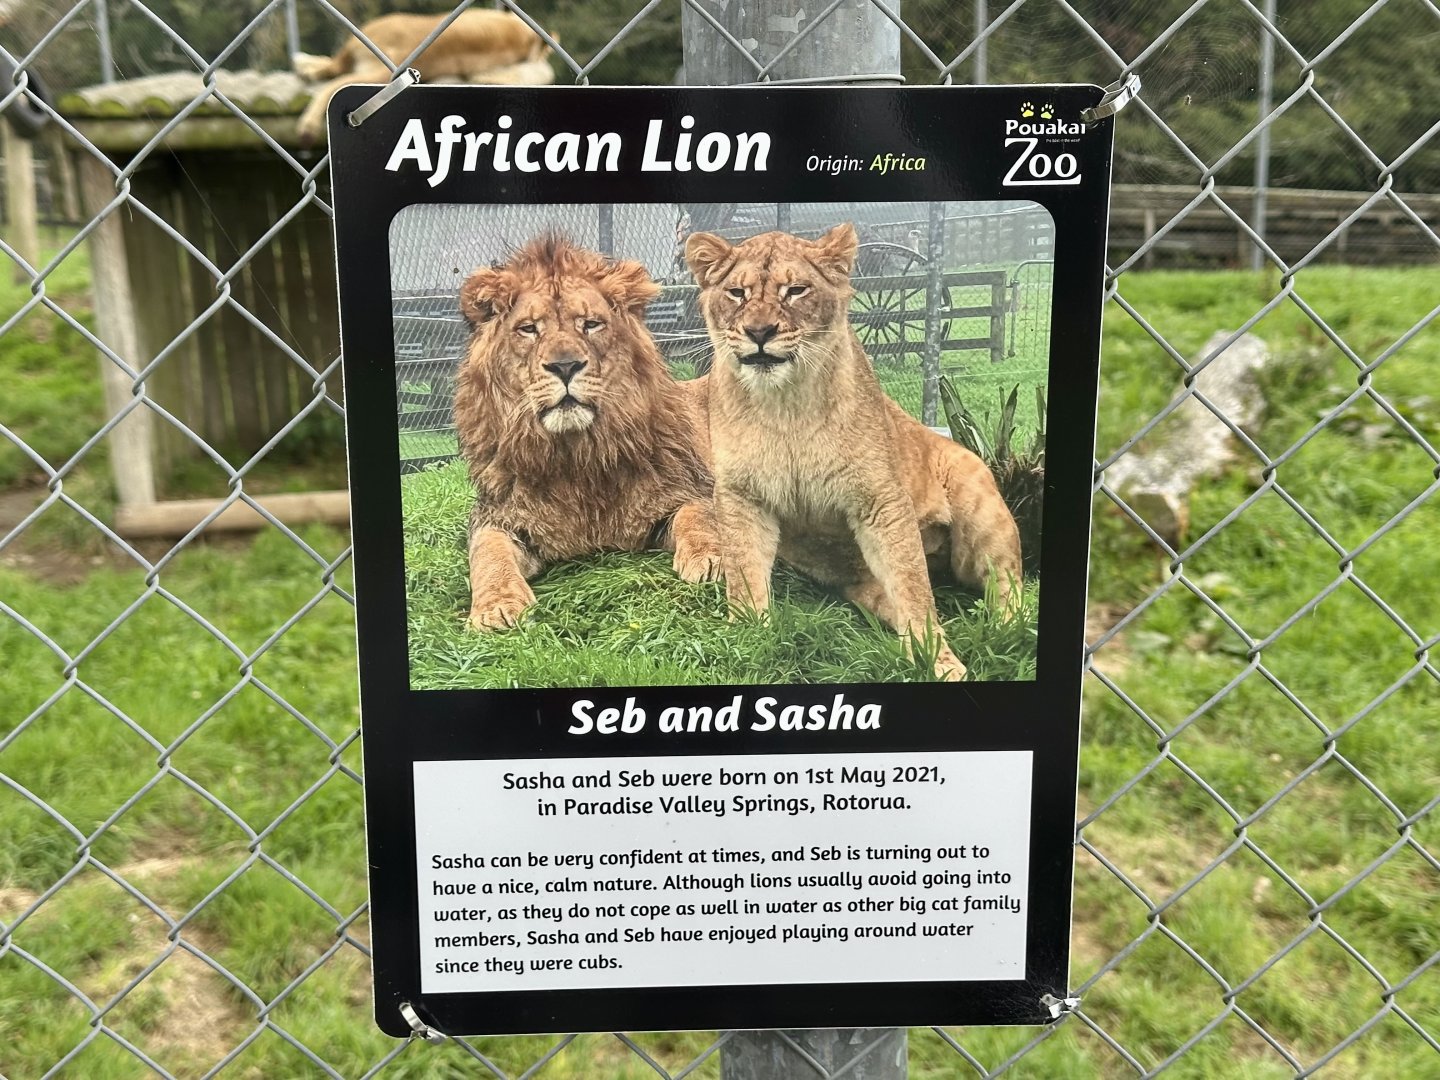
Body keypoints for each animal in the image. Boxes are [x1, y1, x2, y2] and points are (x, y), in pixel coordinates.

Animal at [453, 235, 720, 630]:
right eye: (528, 329)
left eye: (591, 324)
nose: (565, 366)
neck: (575, 457)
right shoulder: (496, 516)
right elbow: (488, 554)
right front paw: (496, 607)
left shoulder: (688, 489)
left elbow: (700, 518)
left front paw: (713, 559)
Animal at [685, 223, 1022, 681]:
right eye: (737, 293)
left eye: (796, 290)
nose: (759, 332)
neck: (784, 405)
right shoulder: (742, 496)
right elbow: (744, 570)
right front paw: (748, 637)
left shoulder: (880, 500)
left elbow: (914, 588)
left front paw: (940, 662)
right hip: (864, 583)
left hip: (982, 520)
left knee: (1007, 588)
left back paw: (1006, 634)